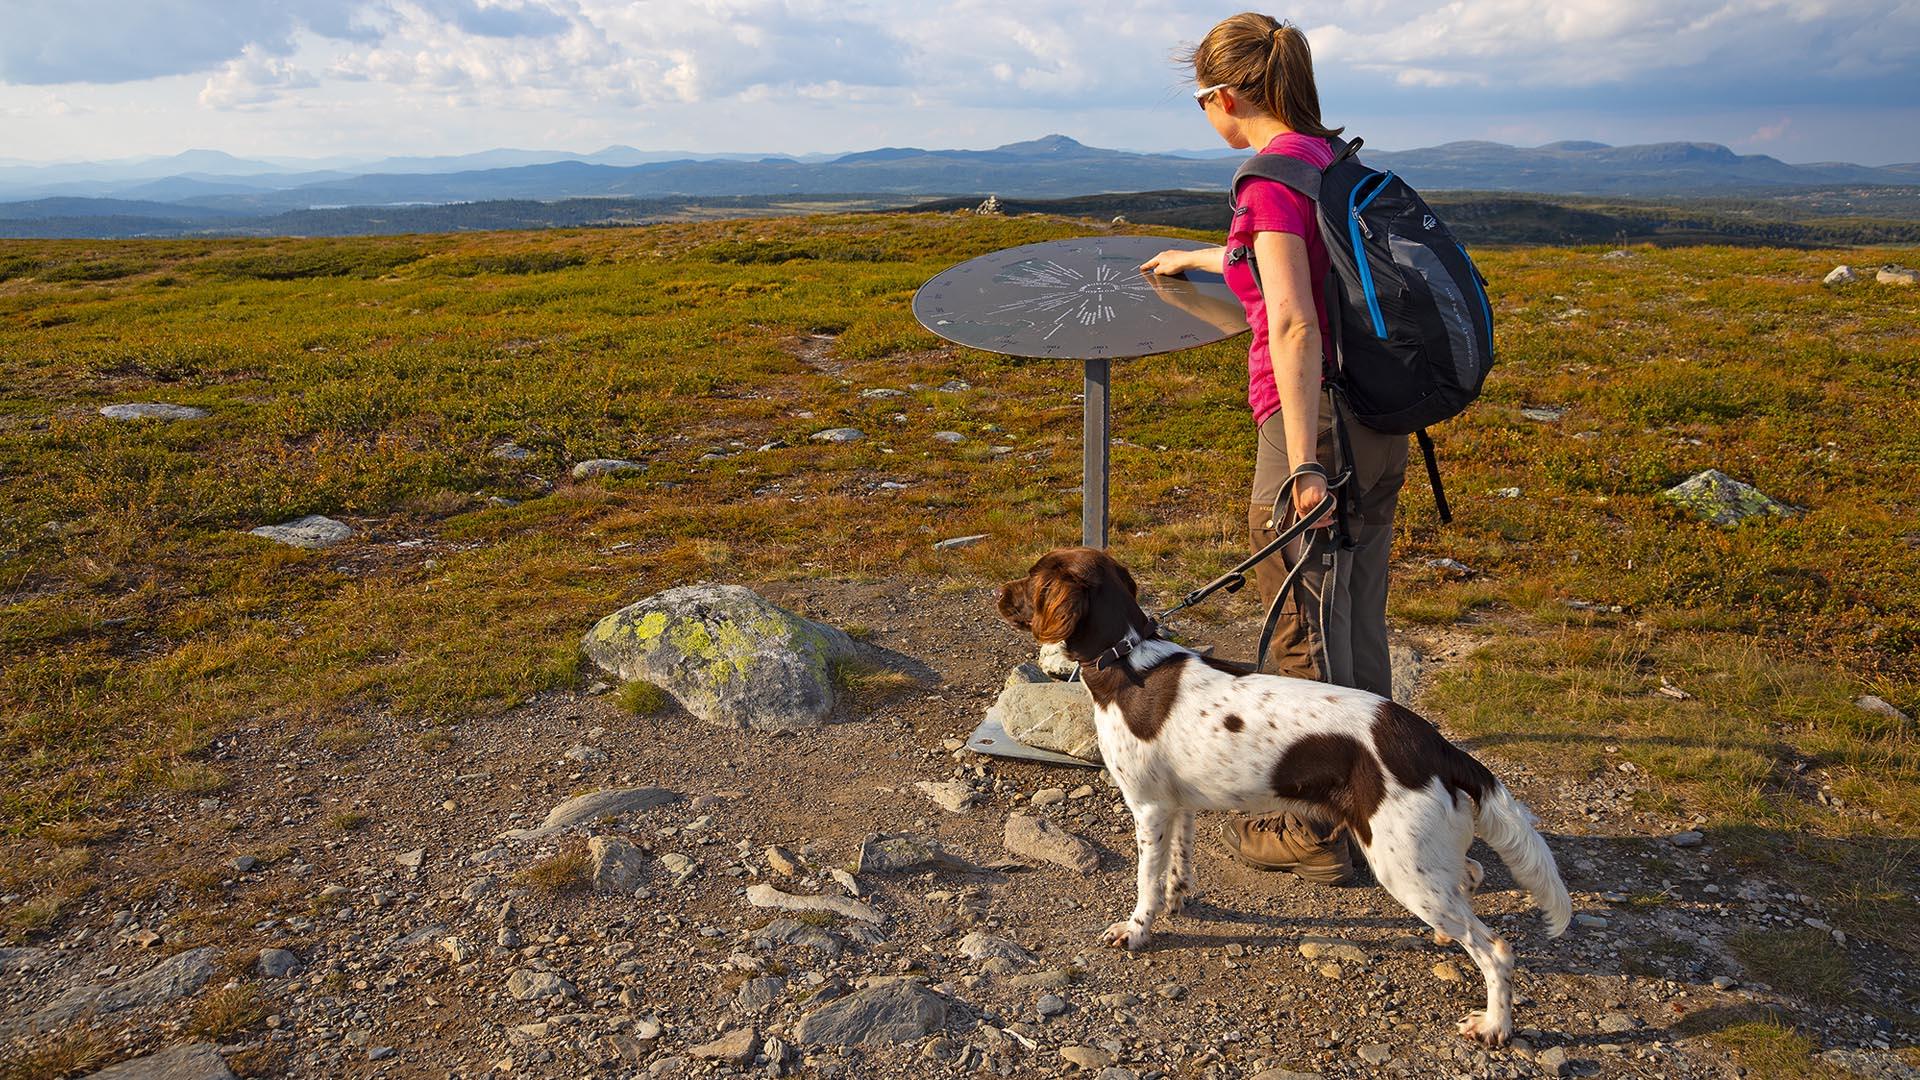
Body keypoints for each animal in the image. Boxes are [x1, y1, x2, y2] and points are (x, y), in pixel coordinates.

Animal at [998, 545, 1566, 1045]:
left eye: (1032, 579)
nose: (999, 593)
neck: (1126, 660)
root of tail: (1434, 745)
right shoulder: (1179, 807)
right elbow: (1178, 867)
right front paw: (1179, 901)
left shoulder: (1149, 807)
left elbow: (1145, 884)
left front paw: (1137, 930)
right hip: (1423, 858)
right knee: (1471, 876)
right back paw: (1449, 940)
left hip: (1401, 865)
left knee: (1496, 949)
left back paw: (1494, 1025)